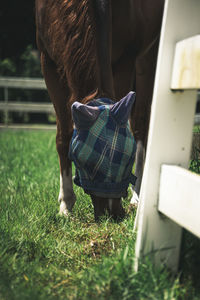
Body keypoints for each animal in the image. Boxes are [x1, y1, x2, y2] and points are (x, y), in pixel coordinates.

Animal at [35, 0, 164, 220]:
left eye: (127, 158)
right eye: (86, 162)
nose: (113, 214)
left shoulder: (125, 61)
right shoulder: (48, 62)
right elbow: (63, 136)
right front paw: (66, 205)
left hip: (148, 56)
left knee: (140, 125)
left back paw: (137, 196)